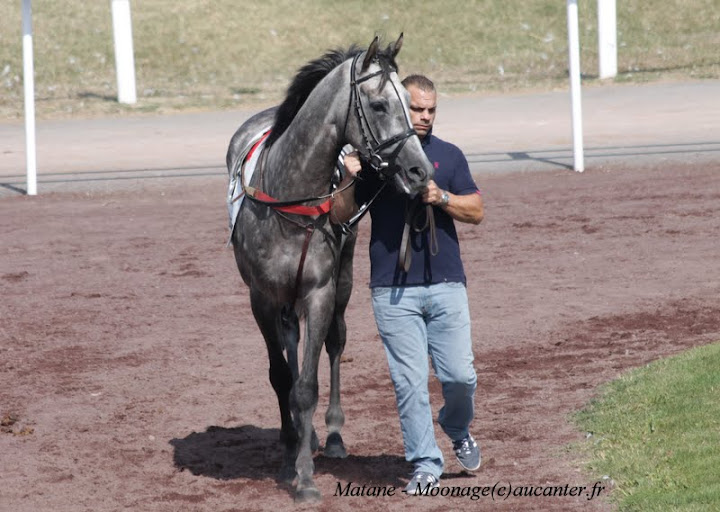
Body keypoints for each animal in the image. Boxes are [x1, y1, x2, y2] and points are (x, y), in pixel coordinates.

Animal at [225, 36, 434, 504]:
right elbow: (282, 376)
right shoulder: (261, 298)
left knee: (334, 344)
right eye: (379, 104)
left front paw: (304, 476)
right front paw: (290, 453)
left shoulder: (319, 291)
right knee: (291, 347)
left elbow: (307, 385)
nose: (420, 169)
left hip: (344, 278)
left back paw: (332, 435)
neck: (290, 198)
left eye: (409, 103)